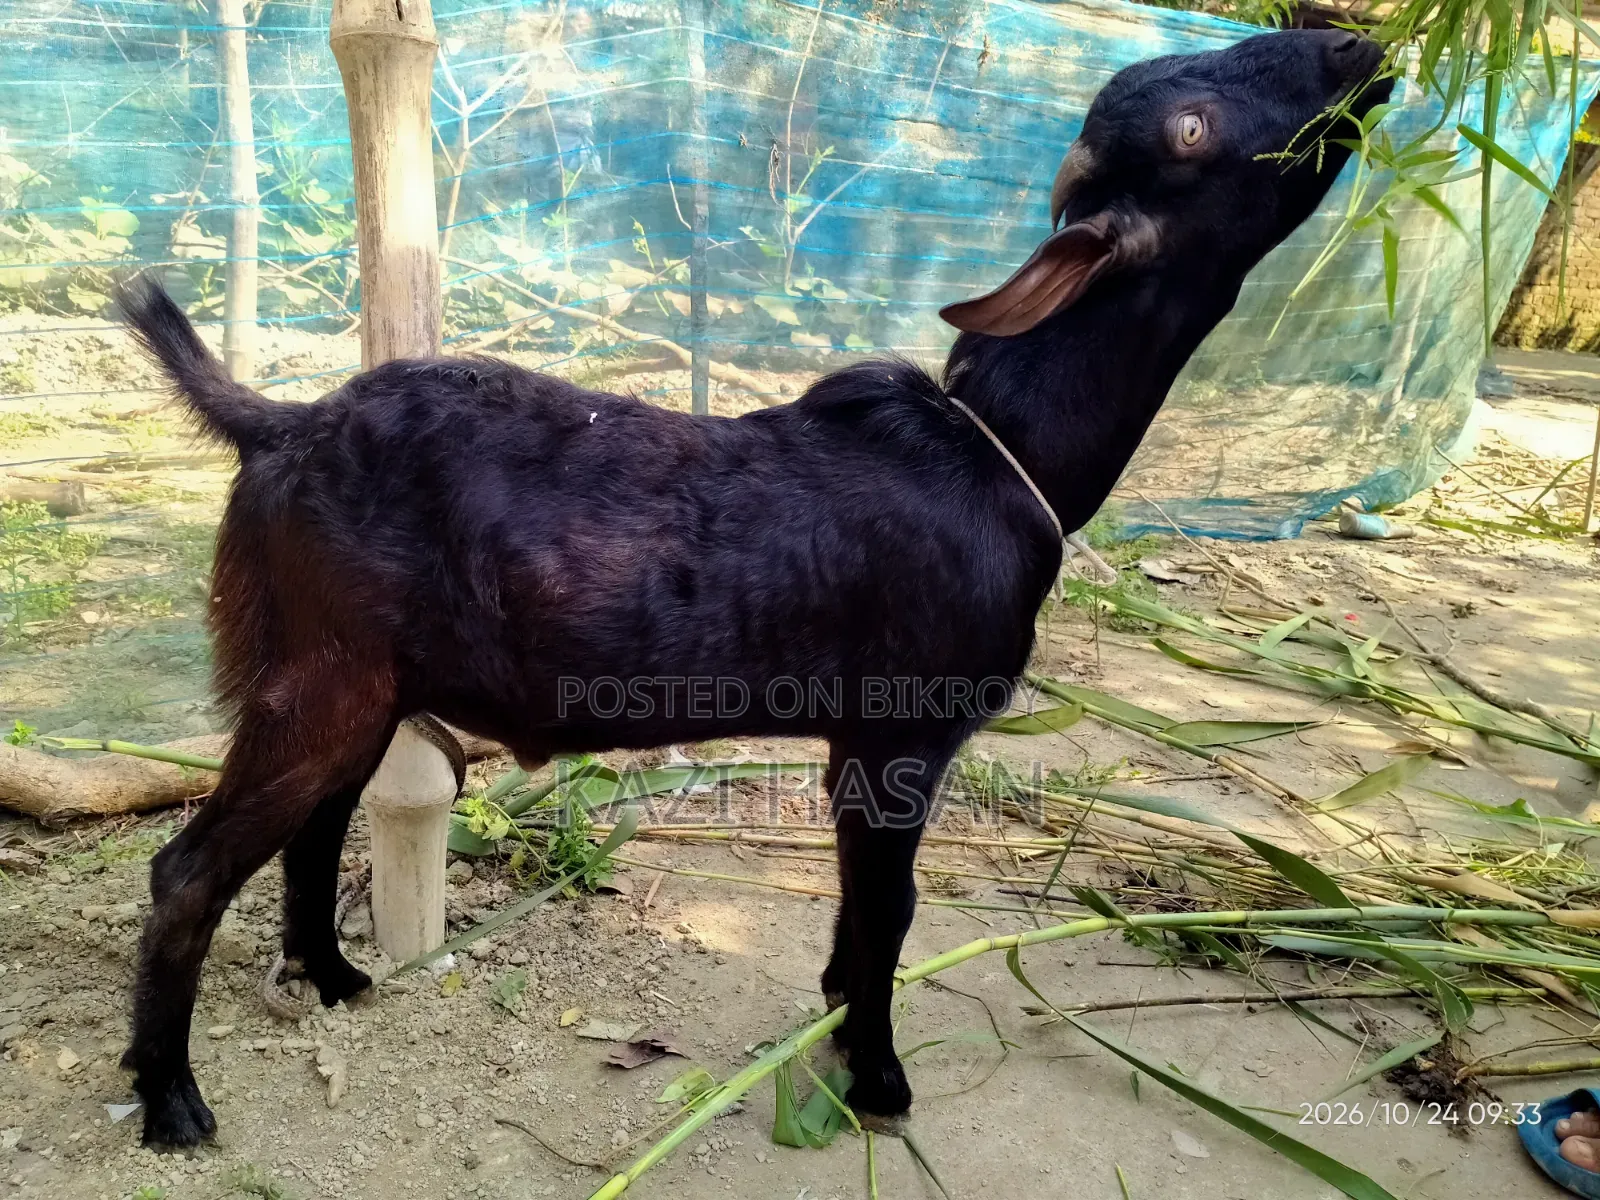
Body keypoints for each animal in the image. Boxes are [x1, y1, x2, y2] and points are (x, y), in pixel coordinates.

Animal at [115, 28, 1390, 1146]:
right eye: (1192, 127)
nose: (1356, 47)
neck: (998, 447)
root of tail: (277, 424)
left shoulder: (854, 742)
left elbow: (862, 905)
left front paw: (835, 1012)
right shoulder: (904, 732)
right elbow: (891, 909)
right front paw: (876, 1078)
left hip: (357, 682)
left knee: (317, 826)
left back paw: (333, 974)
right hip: (318, 675)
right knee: (189, 869)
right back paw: (172, 1104)